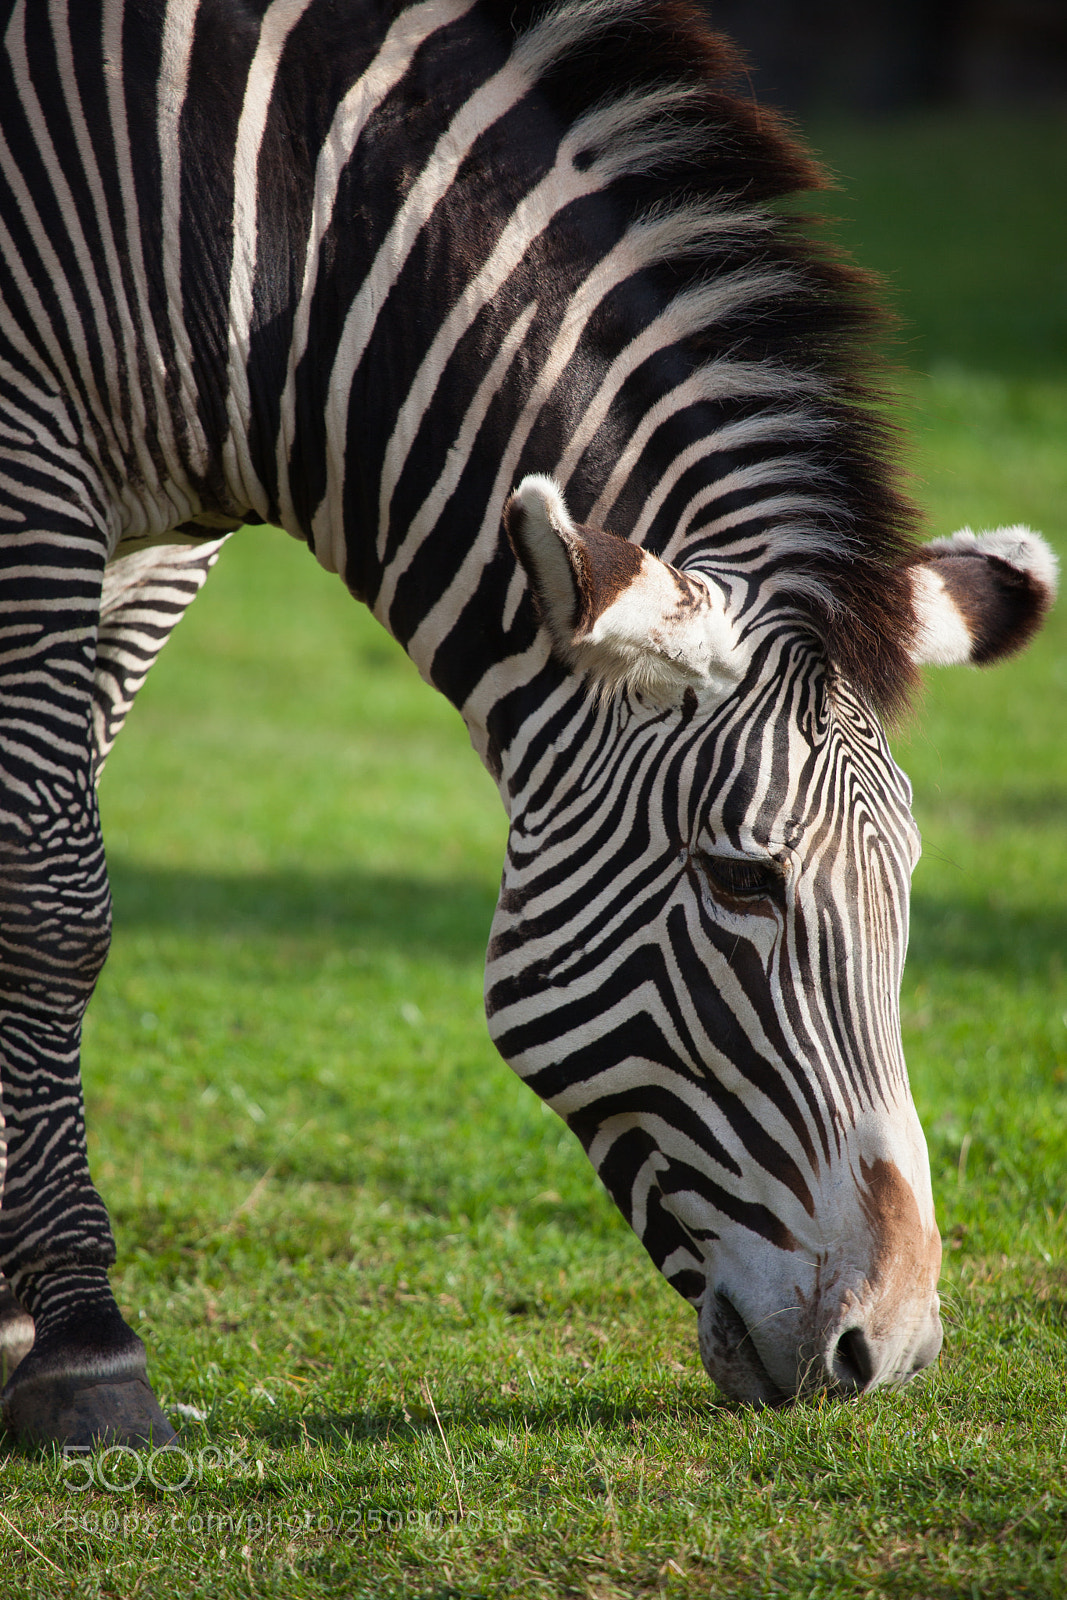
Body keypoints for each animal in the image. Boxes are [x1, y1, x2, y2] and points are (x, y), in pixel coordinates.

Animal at [0, 0, 1056, 1447]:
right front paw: (79, 1346)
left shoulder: (163, 540)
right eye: (740, 879)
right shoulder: (28, 459)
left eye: (906, 883)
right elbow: (53, 906)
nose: (887, 1349)